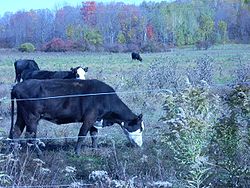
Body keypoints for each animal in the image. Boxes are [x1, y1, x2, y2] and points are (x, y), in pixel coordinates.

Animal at [9, 78, 145, 153]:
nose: (140, 145)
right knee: (30, 136)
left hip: (21, 115)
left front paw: (95, 150)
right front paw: (77, 153)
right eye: (140, 128)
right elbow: (82, 135)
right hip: (32, 117)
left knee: (16, 132)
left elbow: (94, 135)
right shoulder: (89, 118)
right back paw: (40, 155)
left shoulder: (95, 120)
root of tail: (17, 86)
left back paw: (14, 154)